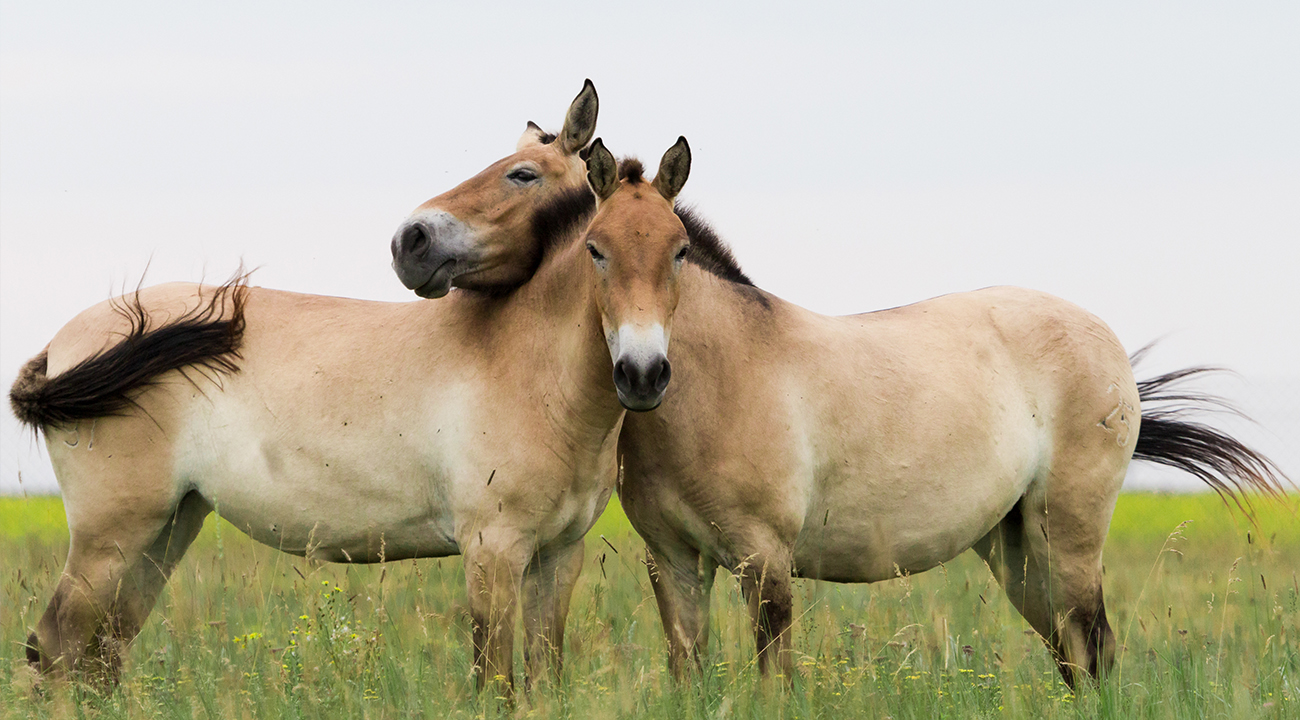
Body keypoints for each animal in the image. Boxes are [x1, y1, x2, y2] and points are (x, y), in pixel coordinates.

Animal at [379, 131, 1284, 686]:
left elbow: (774, 679)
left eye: (678, 252)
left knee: (1093, 651)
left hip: (1068, 541)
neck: (718, 377)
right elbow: (689, 676)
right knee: (1072, 655)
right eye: (595, 249)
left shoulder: (765, 561)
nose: (411, 243)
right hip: (1018, 550)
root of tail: (1103, 342)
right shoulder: (676, 563)